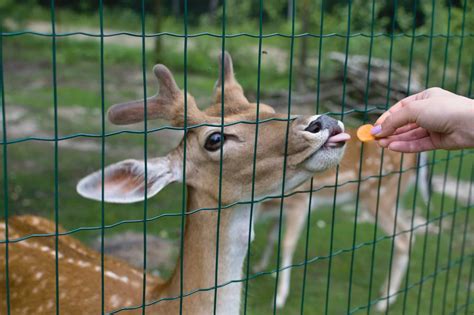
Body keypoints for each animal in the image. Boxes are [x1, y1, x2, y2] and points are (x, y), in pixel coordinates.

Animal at [254, 122, 432, 312]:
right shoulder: (280, 211)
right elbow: (272, 236)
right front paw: (260, 266)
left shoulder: (300, 202)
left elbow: (287, 244)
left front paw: (279, 298)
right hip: (393, 198)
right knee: (409, 230)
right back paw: (385, 291)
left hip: (378, 195)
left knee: (403, 239)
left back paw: (385, 301)